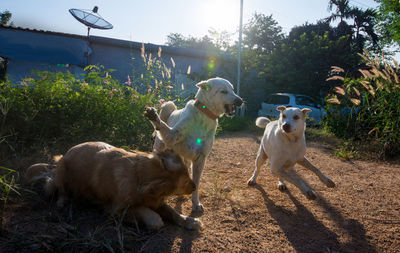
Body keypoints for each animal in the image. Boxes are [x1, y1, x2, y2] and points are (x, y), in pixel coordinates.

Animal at [25, 142, 200, 231]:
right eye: (186, 181)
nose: (194, 186)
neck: (138, 176)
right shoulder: (114, 210)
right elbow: (143, 210)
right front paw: (153, 219)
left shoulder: (157, 201)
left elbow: (172, 212)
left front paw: (189, 220)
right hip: (62, 166)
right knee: (60, 190)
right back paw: (62, 201)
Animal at [145, 77, 242, 211]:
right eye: (223, 91)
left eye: (232, 89)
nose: (240, 101)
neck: (204, 116)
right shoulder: (173, 136)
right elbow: (165, 128)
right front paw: (154, 117)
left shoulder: (200, 159)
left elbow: (196, 183)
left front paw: (196, 203)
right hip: (160, 148)